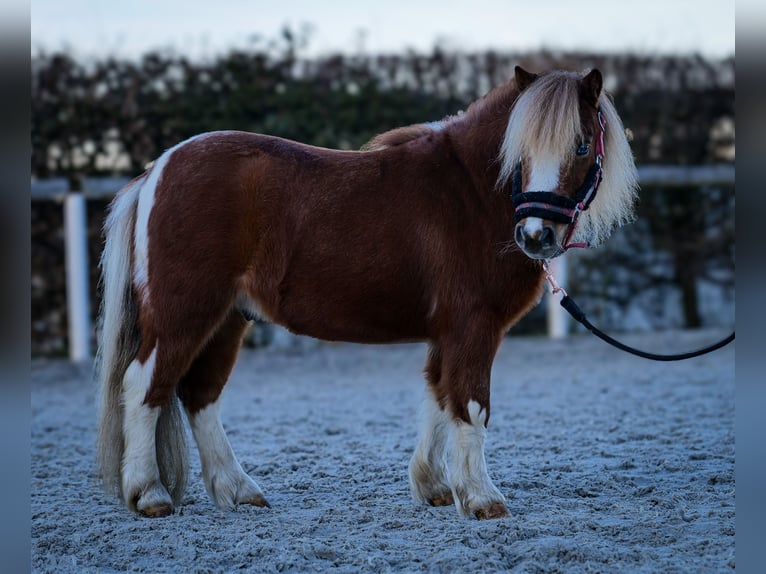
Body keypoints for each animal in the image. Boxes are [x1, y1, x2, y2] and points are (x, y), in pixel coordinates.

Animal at [96, 66, 640, 520]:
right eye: (519, 151)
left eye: (581, 146)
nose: (535, 236)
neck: (471, 192)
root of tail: (158, 169)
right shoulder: (474, 327)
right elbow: (472, 405)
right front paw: (482, 498)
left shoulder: (446, 332)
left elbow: (439, 395)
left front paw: (435, 487)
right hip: (184, 312)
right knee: (144, 385)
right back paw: (149, 493)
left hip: (227, 320)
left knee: (200, 395)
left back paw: (239, 491)